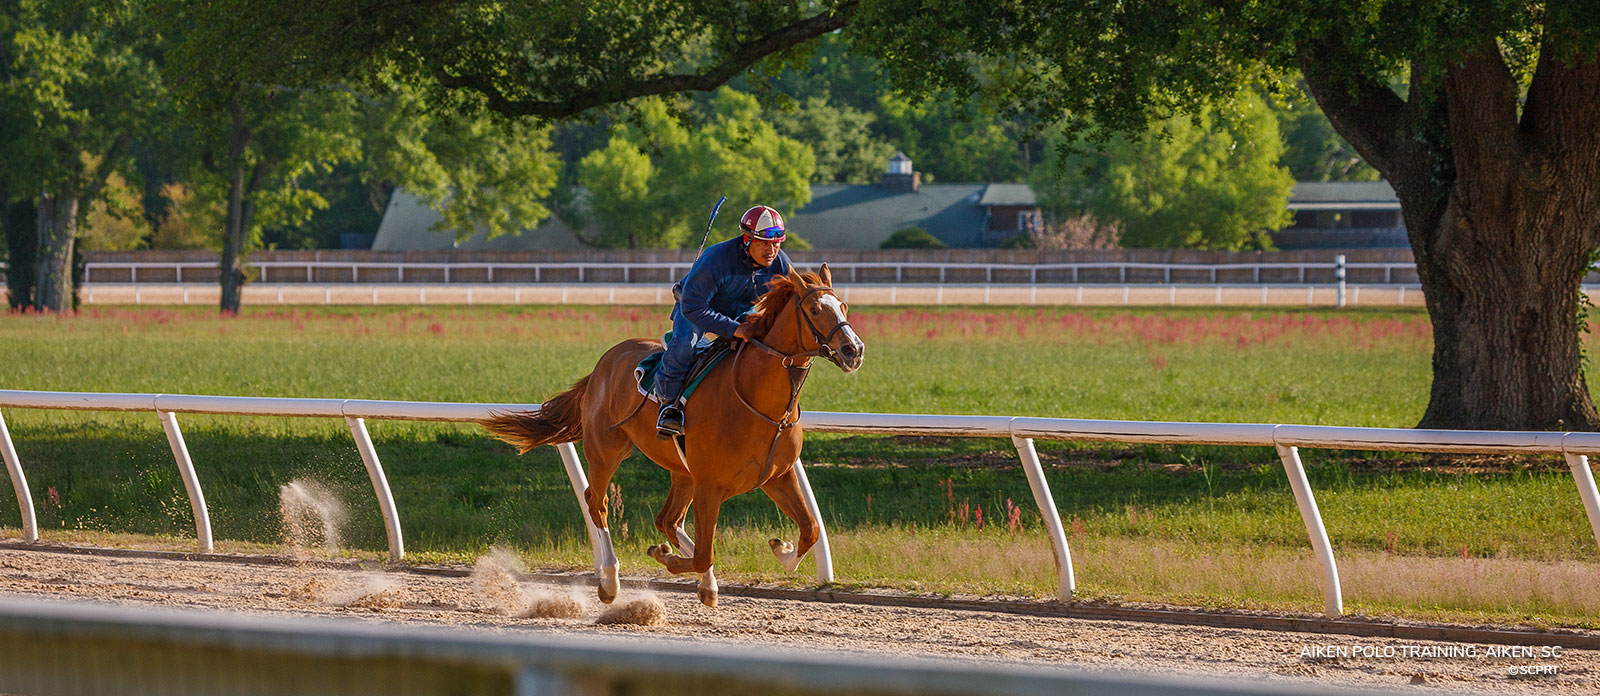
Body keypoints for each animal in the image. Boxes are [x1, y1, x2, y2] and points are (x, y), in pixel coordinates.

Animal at [480, 264, 870, 608]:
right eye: (815, 309)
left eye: (844, 306)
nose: (853, 350)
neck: (759, 400)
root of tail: (602, 365)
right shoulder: (710, 483)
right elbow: (703, 553)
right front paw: (666, 558)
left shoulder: (777, 475)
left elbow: (810, 529)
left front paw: (782, 550)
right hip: (607, 451)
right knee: (597, 503)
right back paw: (610, 581)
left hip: (681, 471)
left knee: (667, 519)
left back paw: (702, 582)